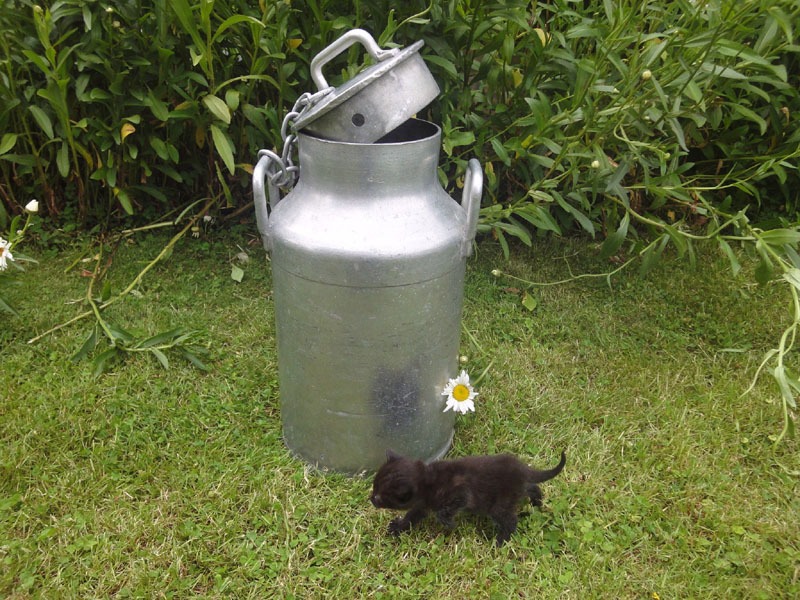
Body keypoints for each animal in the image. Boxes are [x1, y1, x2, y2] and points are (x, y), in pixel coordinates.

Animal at [372, 450, 564, 544]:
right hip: (517, 492)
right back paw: (537, 502)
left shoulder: (461, 493)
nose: (371, 499)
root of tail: (523, 470)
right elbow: (411, 517)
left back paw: (501, 541)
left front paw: (449, 523)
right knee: (533, 487)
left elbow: (446, 511)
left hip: (499, 505)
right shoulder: (422, 506)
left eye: (380, 497)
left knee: (511, 521)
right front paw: (398, 527)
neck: (427, 480)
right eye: (373, 487)